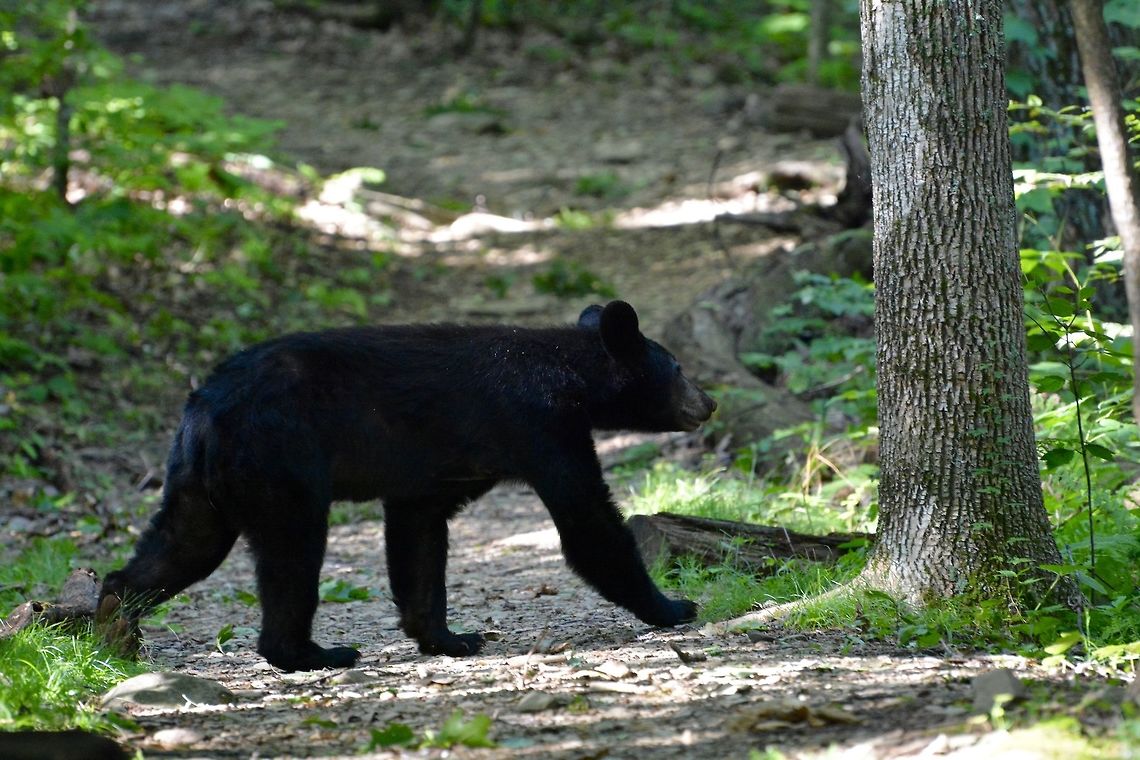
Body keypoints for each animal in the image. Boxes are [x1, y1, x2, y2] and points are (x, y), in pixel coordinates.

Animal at [98, 300, 717, 671]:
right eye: (679, 368)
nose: (709, 402)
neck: (572, 376)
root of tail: (203, 409)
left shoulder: (435, 472)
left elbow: (419, 536)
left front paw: (451, 638)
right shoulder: (540, 425)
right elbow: (587, 521)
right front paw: (673, 606)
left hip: (199, 484)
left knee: (181, 544)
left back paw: (111, 622)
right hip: (280, 462)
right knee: (293, 553)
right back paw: (314, 653)